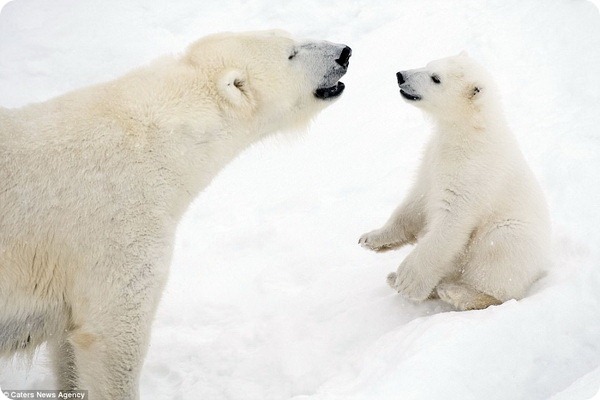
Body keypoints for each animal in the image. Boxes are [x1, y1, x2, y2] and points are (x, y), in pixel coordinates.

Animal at [0, 31, 352, 400]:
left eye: (293, 37)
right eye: (291, 54)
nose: (344, 53)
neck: (160, 142)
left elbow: (68, 345)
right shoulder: (118, 230)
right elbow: (113, 336)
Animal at [358, 52, 552, 310]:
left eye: (436, 78)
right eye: (428, 64)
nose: (401, 75)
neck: (469, 132)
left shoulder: (471, 173)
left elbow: (452, 221)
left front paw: (407, 279)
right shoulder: (431, 159)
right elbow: (416, 201)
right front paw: (372, 238)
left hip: (514, 237)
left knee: (499, 260)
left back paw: (455, 292)